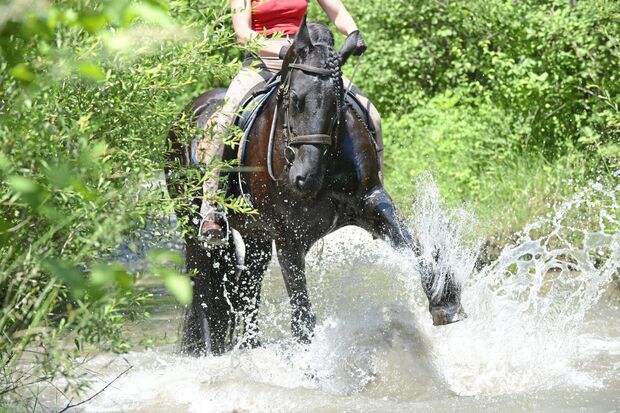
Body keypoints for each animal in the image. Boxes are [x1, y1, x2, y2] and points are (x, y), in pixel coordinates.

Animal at [165, 20, 464, 354]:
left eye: (337, 101)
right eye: (294, 99)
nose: (304, 177)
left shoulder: (371, 202)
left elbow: (411, 244)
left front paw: (445, 301)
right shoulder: (288, 236)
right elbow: (302, 316)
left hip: (256, 236)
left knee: (247, 289)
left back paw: (251, 347)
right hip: (194, 227)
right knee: (204, 288)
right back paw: (207, 351)